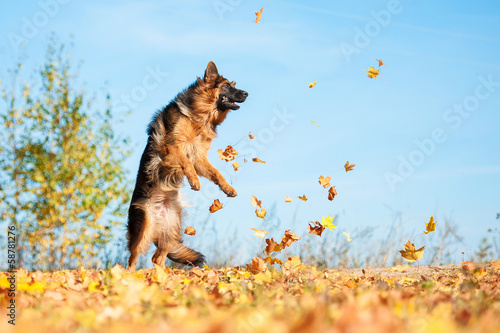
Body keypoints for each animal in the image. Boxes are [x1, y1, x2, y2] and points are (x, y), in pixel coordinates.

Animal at [127, 61, 248, 270]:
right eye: (226, 86)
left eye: (234, 85)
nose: (246, 93)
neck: (200, 116)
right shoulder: (171, 147)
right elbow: (185, 163)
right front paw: (195, 181)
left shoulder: (199, 157)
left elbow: (216, 173)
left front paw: (228, 188)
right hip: (143, 229)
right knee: (133, 256)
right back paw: (126, 273)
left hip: (171, 232)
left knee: (157, 258)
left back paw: (161, 275)